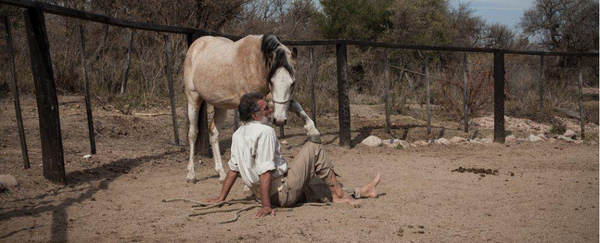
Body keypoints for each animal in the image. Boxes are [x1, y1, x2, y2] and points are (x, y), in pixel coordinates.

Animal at [185, 33, 322, 182]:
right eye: (271, 82)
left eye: (292, 83)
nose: (280, 120)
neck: (256, 64)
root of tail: (196, 45)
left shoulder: (269, 100)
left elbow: (295, 105)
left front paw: (313, 131)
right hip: (193, 98)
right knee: (192, 134)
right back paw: (191, 174)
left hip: (221, 105)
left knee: (214, 133)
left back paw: (221, 173)